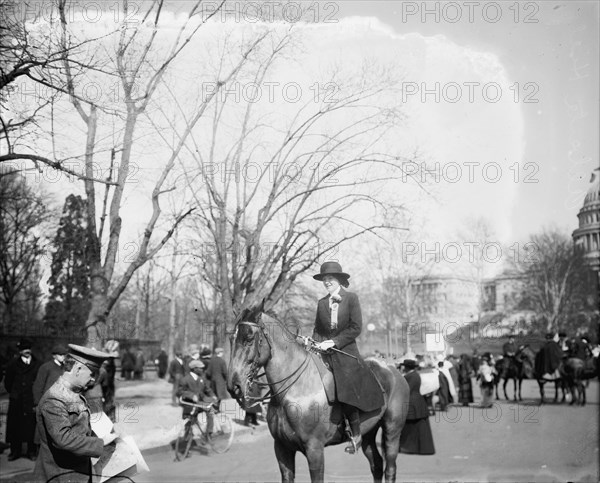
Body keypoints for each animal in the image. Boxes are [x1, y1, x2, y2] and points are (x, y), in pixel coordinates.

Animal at [227, 306, 410, 483]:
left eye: (249, 338)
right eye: (231, 339)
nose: (233, 386)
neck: (292, 392)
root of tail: (393, 369)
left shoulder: (314, 450)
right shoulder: (282, 449)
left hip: (392, 431)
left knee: (390, 468)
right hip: (369, 433)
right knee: (377, 465)